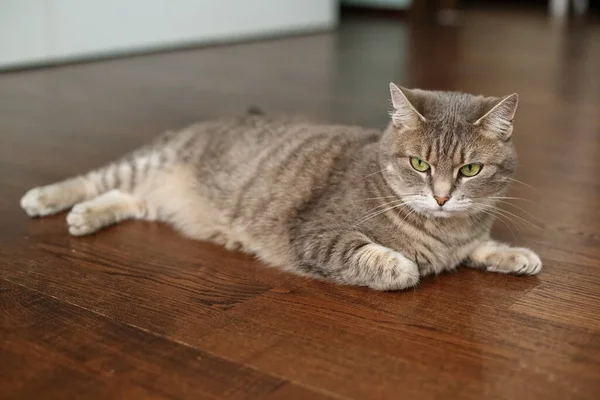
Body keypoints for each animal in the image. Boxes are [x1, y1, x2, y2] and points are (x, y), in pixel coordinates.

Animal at [21, 84, 540, 290]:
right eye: (418, 164)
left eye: (470, 170)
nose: (441, 196)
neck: (446, 230)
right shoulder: (319, 236)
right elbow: (395, 264)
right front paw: (409, 264)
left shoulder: (467, 238)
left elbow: (483, 245)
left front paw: (515, 254)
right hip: (150, 162)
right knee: (98, 179)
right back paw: (47, 198)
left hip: (153, 197)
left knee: (126, 198)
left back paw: (86, 216)